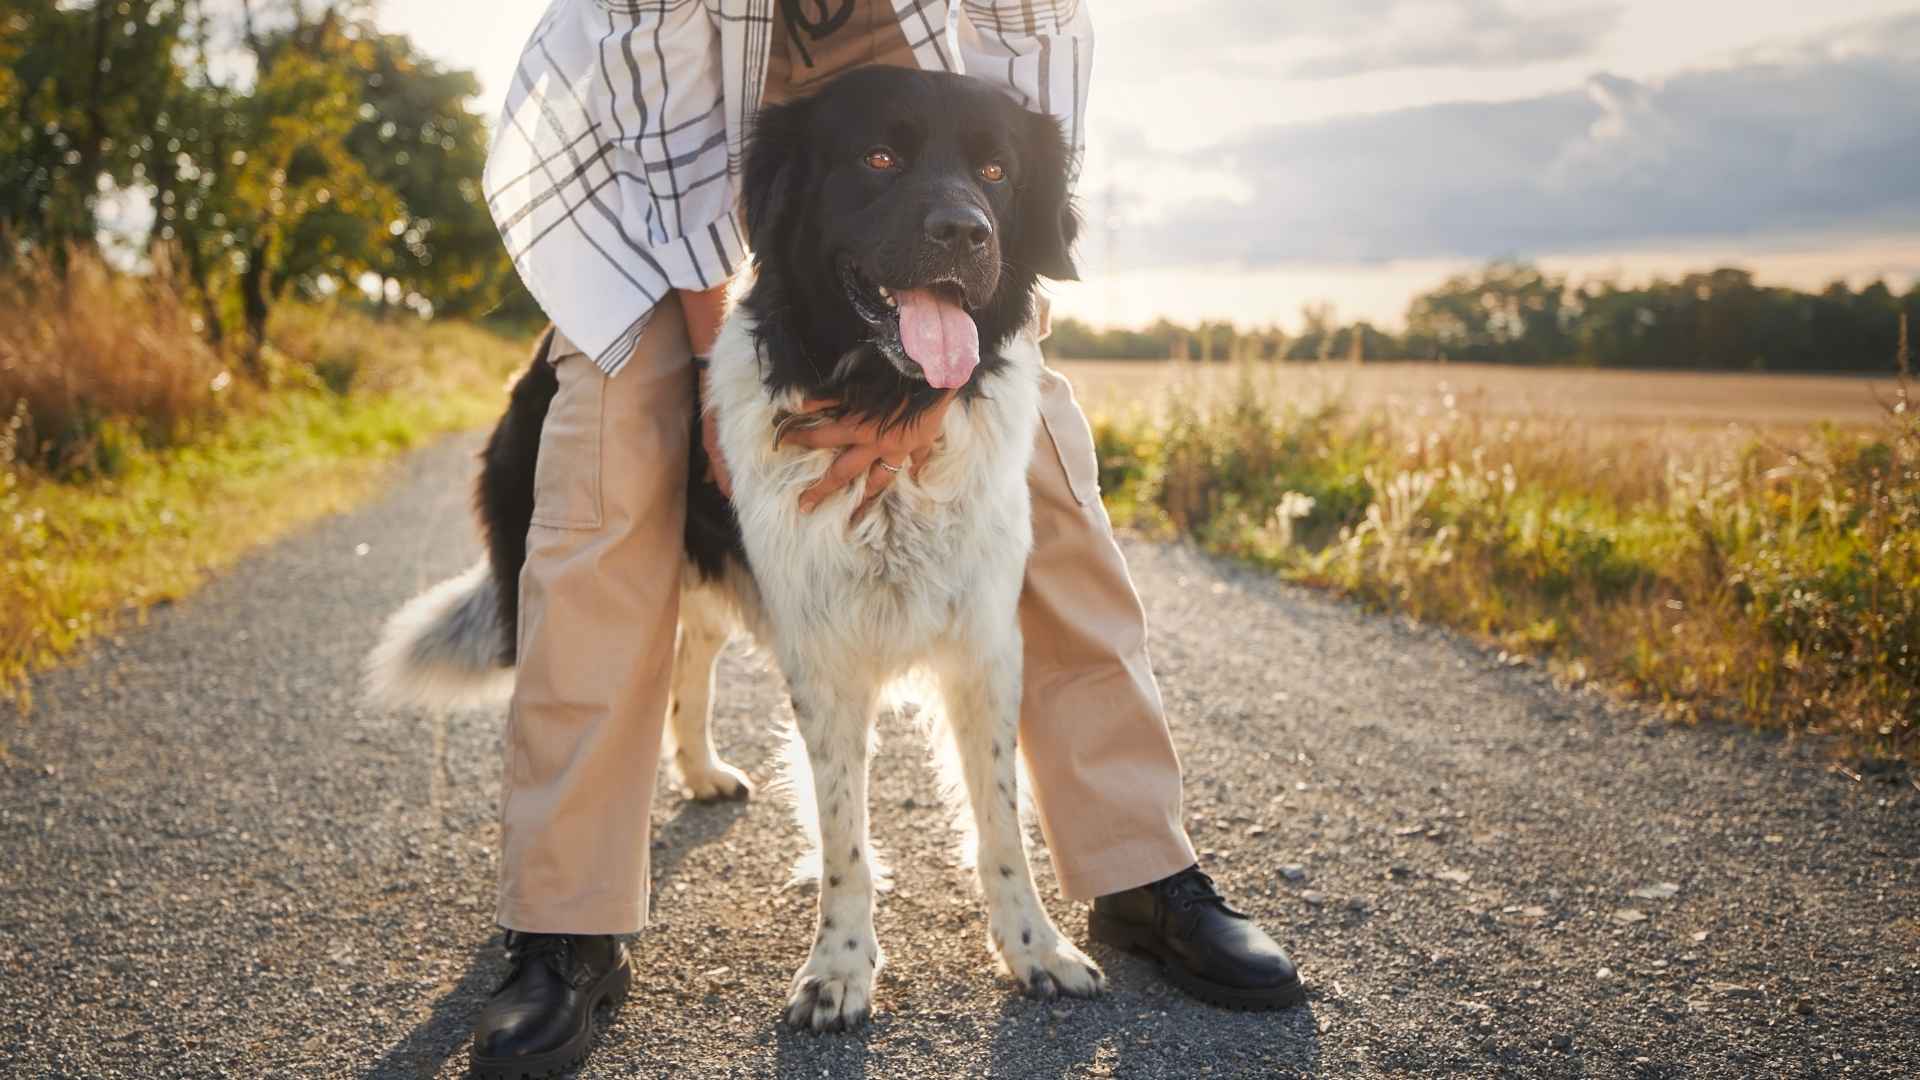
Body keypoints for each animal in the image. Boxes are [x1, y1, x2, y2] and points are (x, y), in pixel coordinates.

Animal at [368, 67, 1105, 1022]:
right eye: (878, 157)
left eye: (995, 170)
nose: (963, 232)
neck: (883, 407)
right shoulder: (823, 657)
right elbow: (844, 838)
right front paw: (839, 967)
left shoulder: (982, 646)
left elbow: (1002, 823)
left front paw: (1035, 947)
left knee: (691, 661)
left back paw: (703, 770)